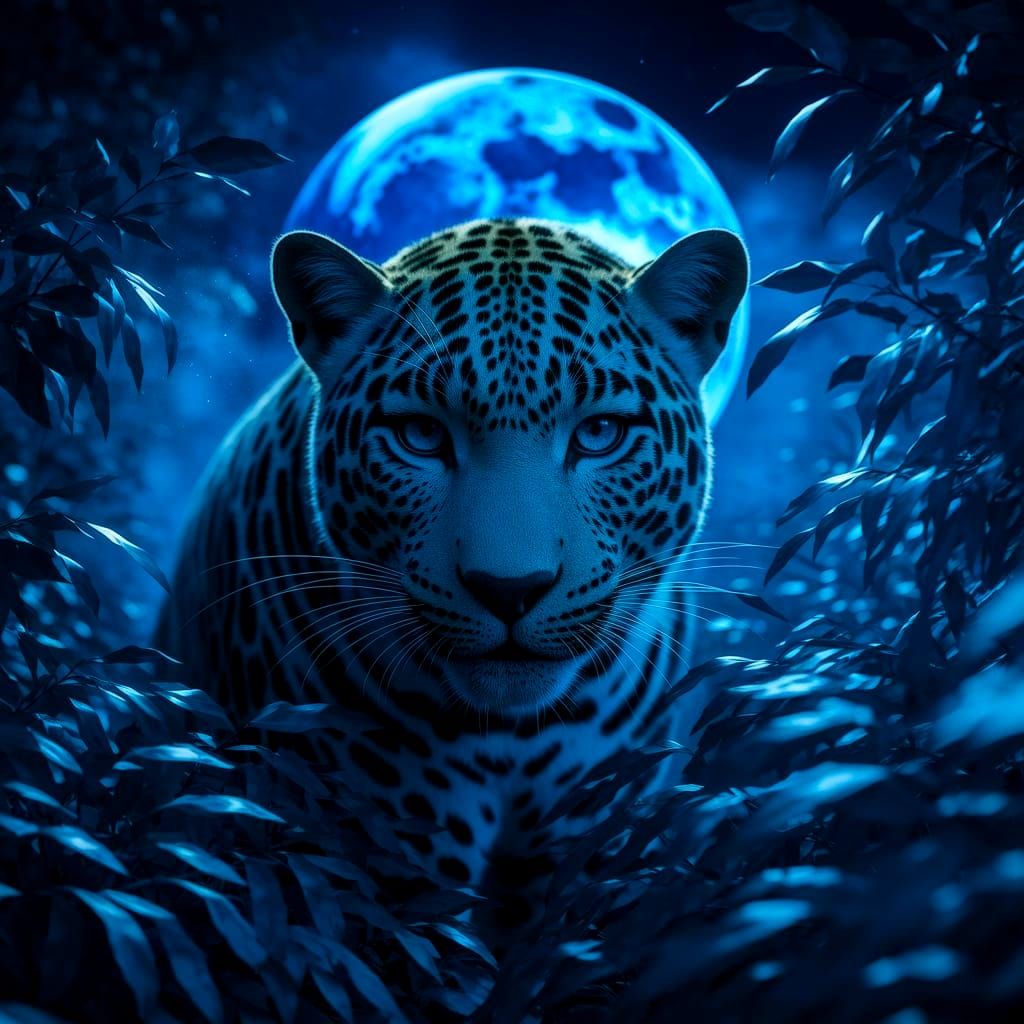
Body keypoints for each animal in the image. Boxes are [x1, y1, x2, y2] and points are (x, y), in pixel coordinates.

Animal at [157, 216, 748, 937]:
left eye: (601, 433)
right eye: (419, 435)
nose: (510, 589)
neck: (517, 741)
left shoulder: (595, 840)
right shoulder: (384, 860)